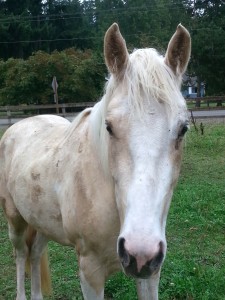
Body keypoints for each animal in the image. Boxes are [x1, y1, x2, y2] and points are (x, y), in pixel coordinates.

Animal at [0, 23, 191, 300]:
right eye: (109, 127)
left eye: (183, 129)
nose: (139, 253)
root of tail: (19, 125)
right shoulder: (90, 271)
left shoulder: (151, 272)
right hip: (15, 220)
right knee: (21, 253)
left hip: (42, 222)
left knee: (35, 254)